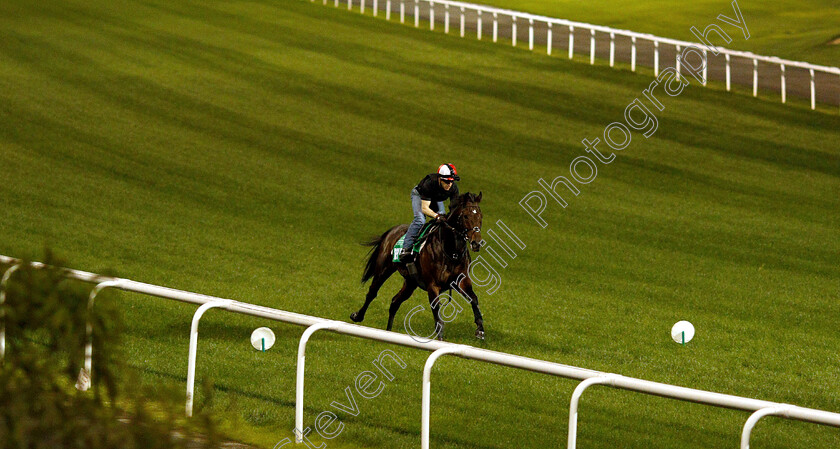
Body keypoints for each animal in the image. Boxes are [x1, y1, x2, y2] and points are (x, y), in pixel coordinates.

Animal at [352, 190, 486, 340]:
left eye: (480, 216)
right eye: (465, 216)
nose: (476, 242)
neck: (451, 251)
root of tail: (393, 230)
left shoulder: (461, 281)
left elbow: (474, 299)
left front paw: (480, 329)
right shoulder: (433, 285)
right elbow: (437, 316)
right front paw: (440, 340)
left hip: (411, 282)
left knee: (395, 302)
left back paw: (388, 332)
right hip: (384, 269)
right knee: (372, 292)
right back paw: (357, 316)